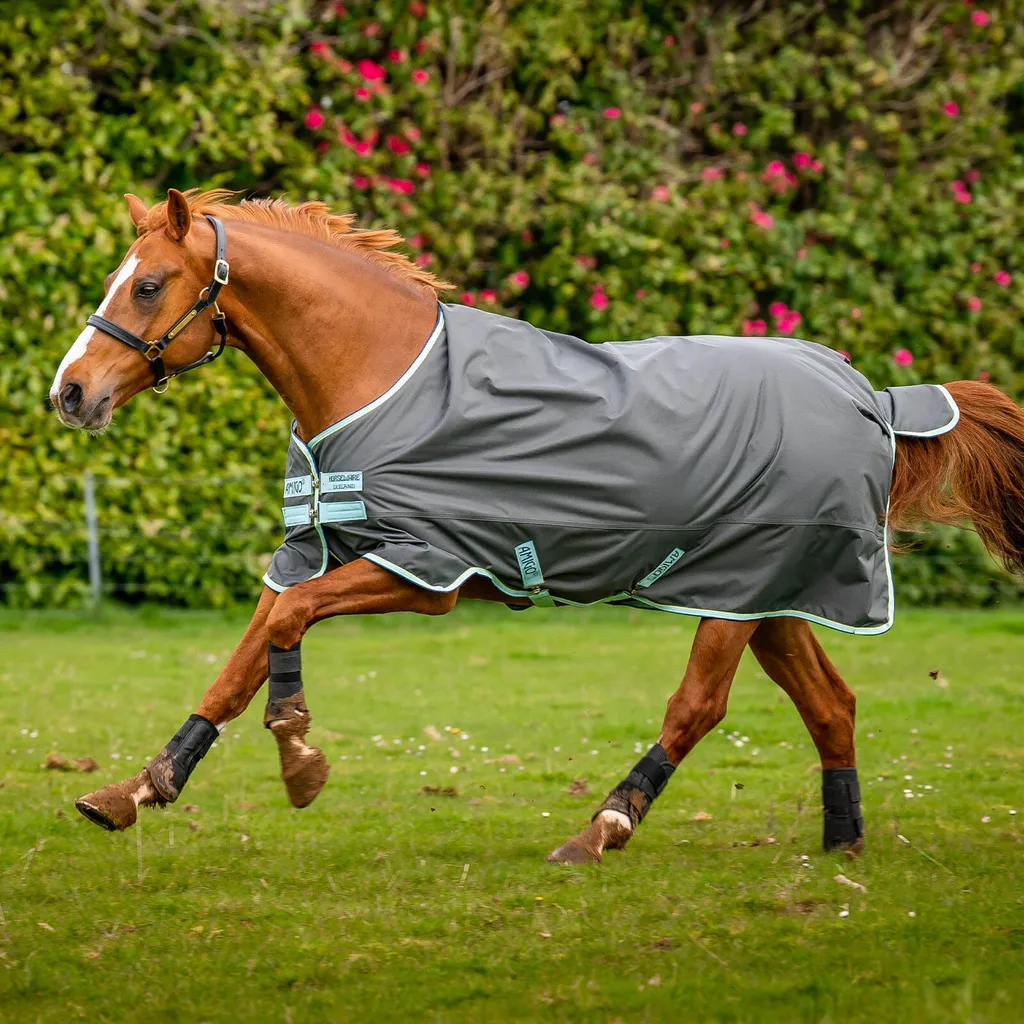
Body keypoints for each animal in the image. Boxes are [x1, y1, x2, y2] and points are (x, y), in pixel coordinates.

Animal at [50, 189, 1024, 865]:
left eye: (147, 285)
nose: (70, 392)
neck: (378, 373)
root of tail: (873, 396)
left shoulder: (422, 572)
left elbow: (284, 631)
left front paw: (298, 760)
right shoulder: (317, 551)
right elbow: (242, 658)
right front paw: (138, 789)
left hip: (737, 594)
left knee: (698, 708)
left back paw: (601, 829)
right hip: (770, 595)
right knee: (831, 706)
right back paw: (841, 842)